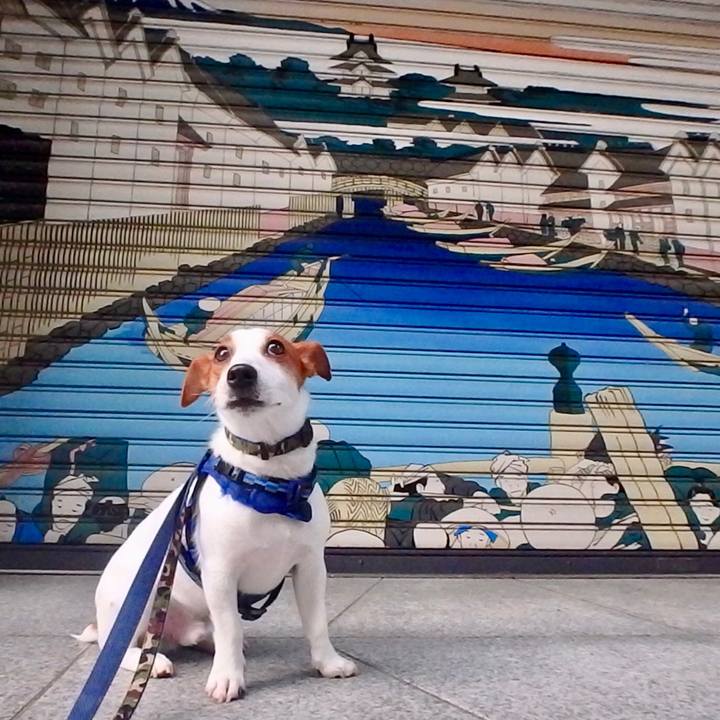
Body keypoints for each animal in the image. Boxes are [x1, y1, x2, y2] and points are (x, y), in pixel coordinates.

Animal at [75, 327, 357, 702]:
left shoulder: (310, 568)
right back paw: (154, 661)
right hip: (136, 598)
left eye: (276, 347)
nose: (240, 373)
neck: (267, 481)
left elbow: (316, 623)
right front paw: (227, 677)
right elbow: (230, 629)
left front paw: (327, 662)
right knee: (118, 649)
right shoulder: (221, 574)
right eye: (222, 354)